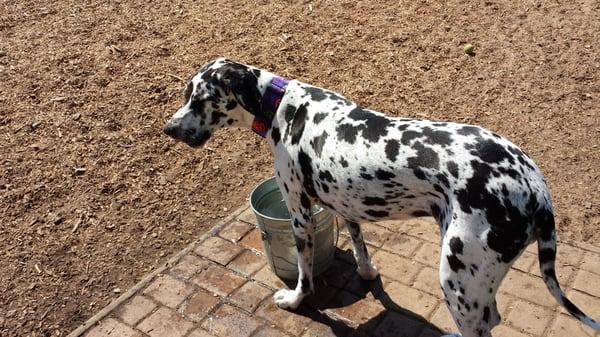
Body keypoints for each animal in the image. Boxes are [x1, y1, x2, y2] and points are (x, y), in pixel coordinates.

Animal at [164, 58, 600, 336]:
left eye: (201, 99)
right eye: (186, 94)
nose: (169, 129)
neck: (282, 107)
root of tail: (535, 187)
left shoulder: (300, 216)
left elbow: (305, 276)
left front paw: (294, 300)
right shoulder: (344, 204)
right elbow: (360, 246)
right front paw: (367, 272)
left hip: (458, 282)